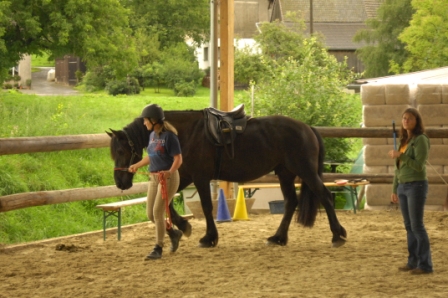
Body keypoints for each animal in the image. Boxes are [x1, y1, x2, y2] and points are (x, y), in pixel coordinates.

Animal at [107, 108, 346, 248]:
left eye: (121, 151)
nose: (120, 182)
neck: (185, 132)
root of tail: (307, 128)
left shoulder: (200, 177)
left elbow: (206, 206)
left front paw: (209, 237)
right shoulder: (184, 175)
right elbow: (169, 201)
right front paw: (184, 226)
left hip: (305, 171)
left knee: (325, 196)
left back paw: (337, 236)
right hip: (285, 173)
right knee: (291, 202)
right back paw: (278, 238)